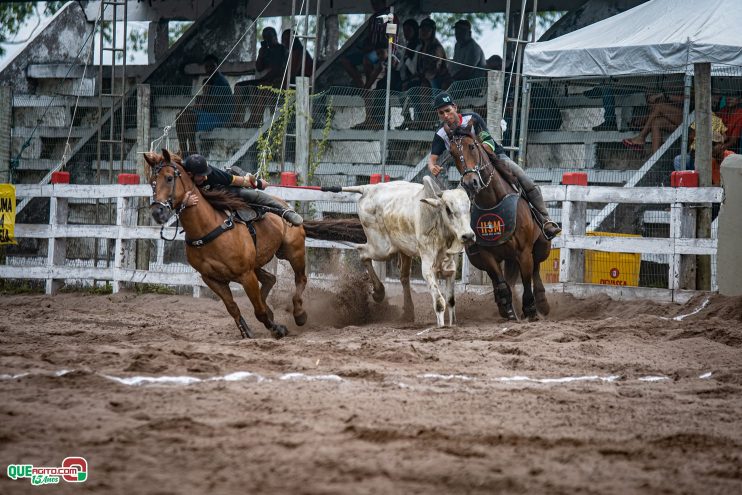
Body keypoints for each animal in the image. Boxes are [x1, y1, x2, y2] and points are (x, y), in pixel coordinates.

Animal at [145, 149, 308, 340]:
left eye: (169, 178)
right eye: (151, 181)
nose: (157, 212)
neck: (207, 228)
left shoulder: (246, 275)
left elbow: (259, 311)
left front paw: (277, 328)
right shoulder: (212, 279)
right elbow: (232, 308)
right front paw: (246, 332)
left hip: (294, 252)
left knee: (300, 279)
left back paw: (299, 314)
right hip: (257, 263)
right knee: (270, 279)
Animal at [344, 176, 476, 328]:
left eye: (469, 207)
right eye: (448, 209)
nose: (468, 236)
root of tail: (367, 189)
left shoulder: (450, 269)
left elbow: (451, 301)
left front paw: (452, 324)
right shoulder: (427, 268)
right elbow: (439, 302)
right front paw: (441, 326)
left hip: (403, 251)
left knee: (404, 277)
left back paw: (408, 312)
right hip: (382, 249)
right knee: (362, 253)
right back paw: (379, 292)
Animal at [448, 122, 552, 320]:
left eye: (472, 146)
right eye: (452, 153)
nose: (471, 182)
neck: (493, 201)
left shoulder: (524, 251)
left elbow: (526, 279)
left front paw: (530, 309)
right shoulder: (486, 254)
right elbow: (502, 283)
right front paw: (509, 311)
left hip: (542, 246)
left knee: (536, 268)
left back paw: (542, 302)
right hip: (490, 258)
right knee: (504, 281)